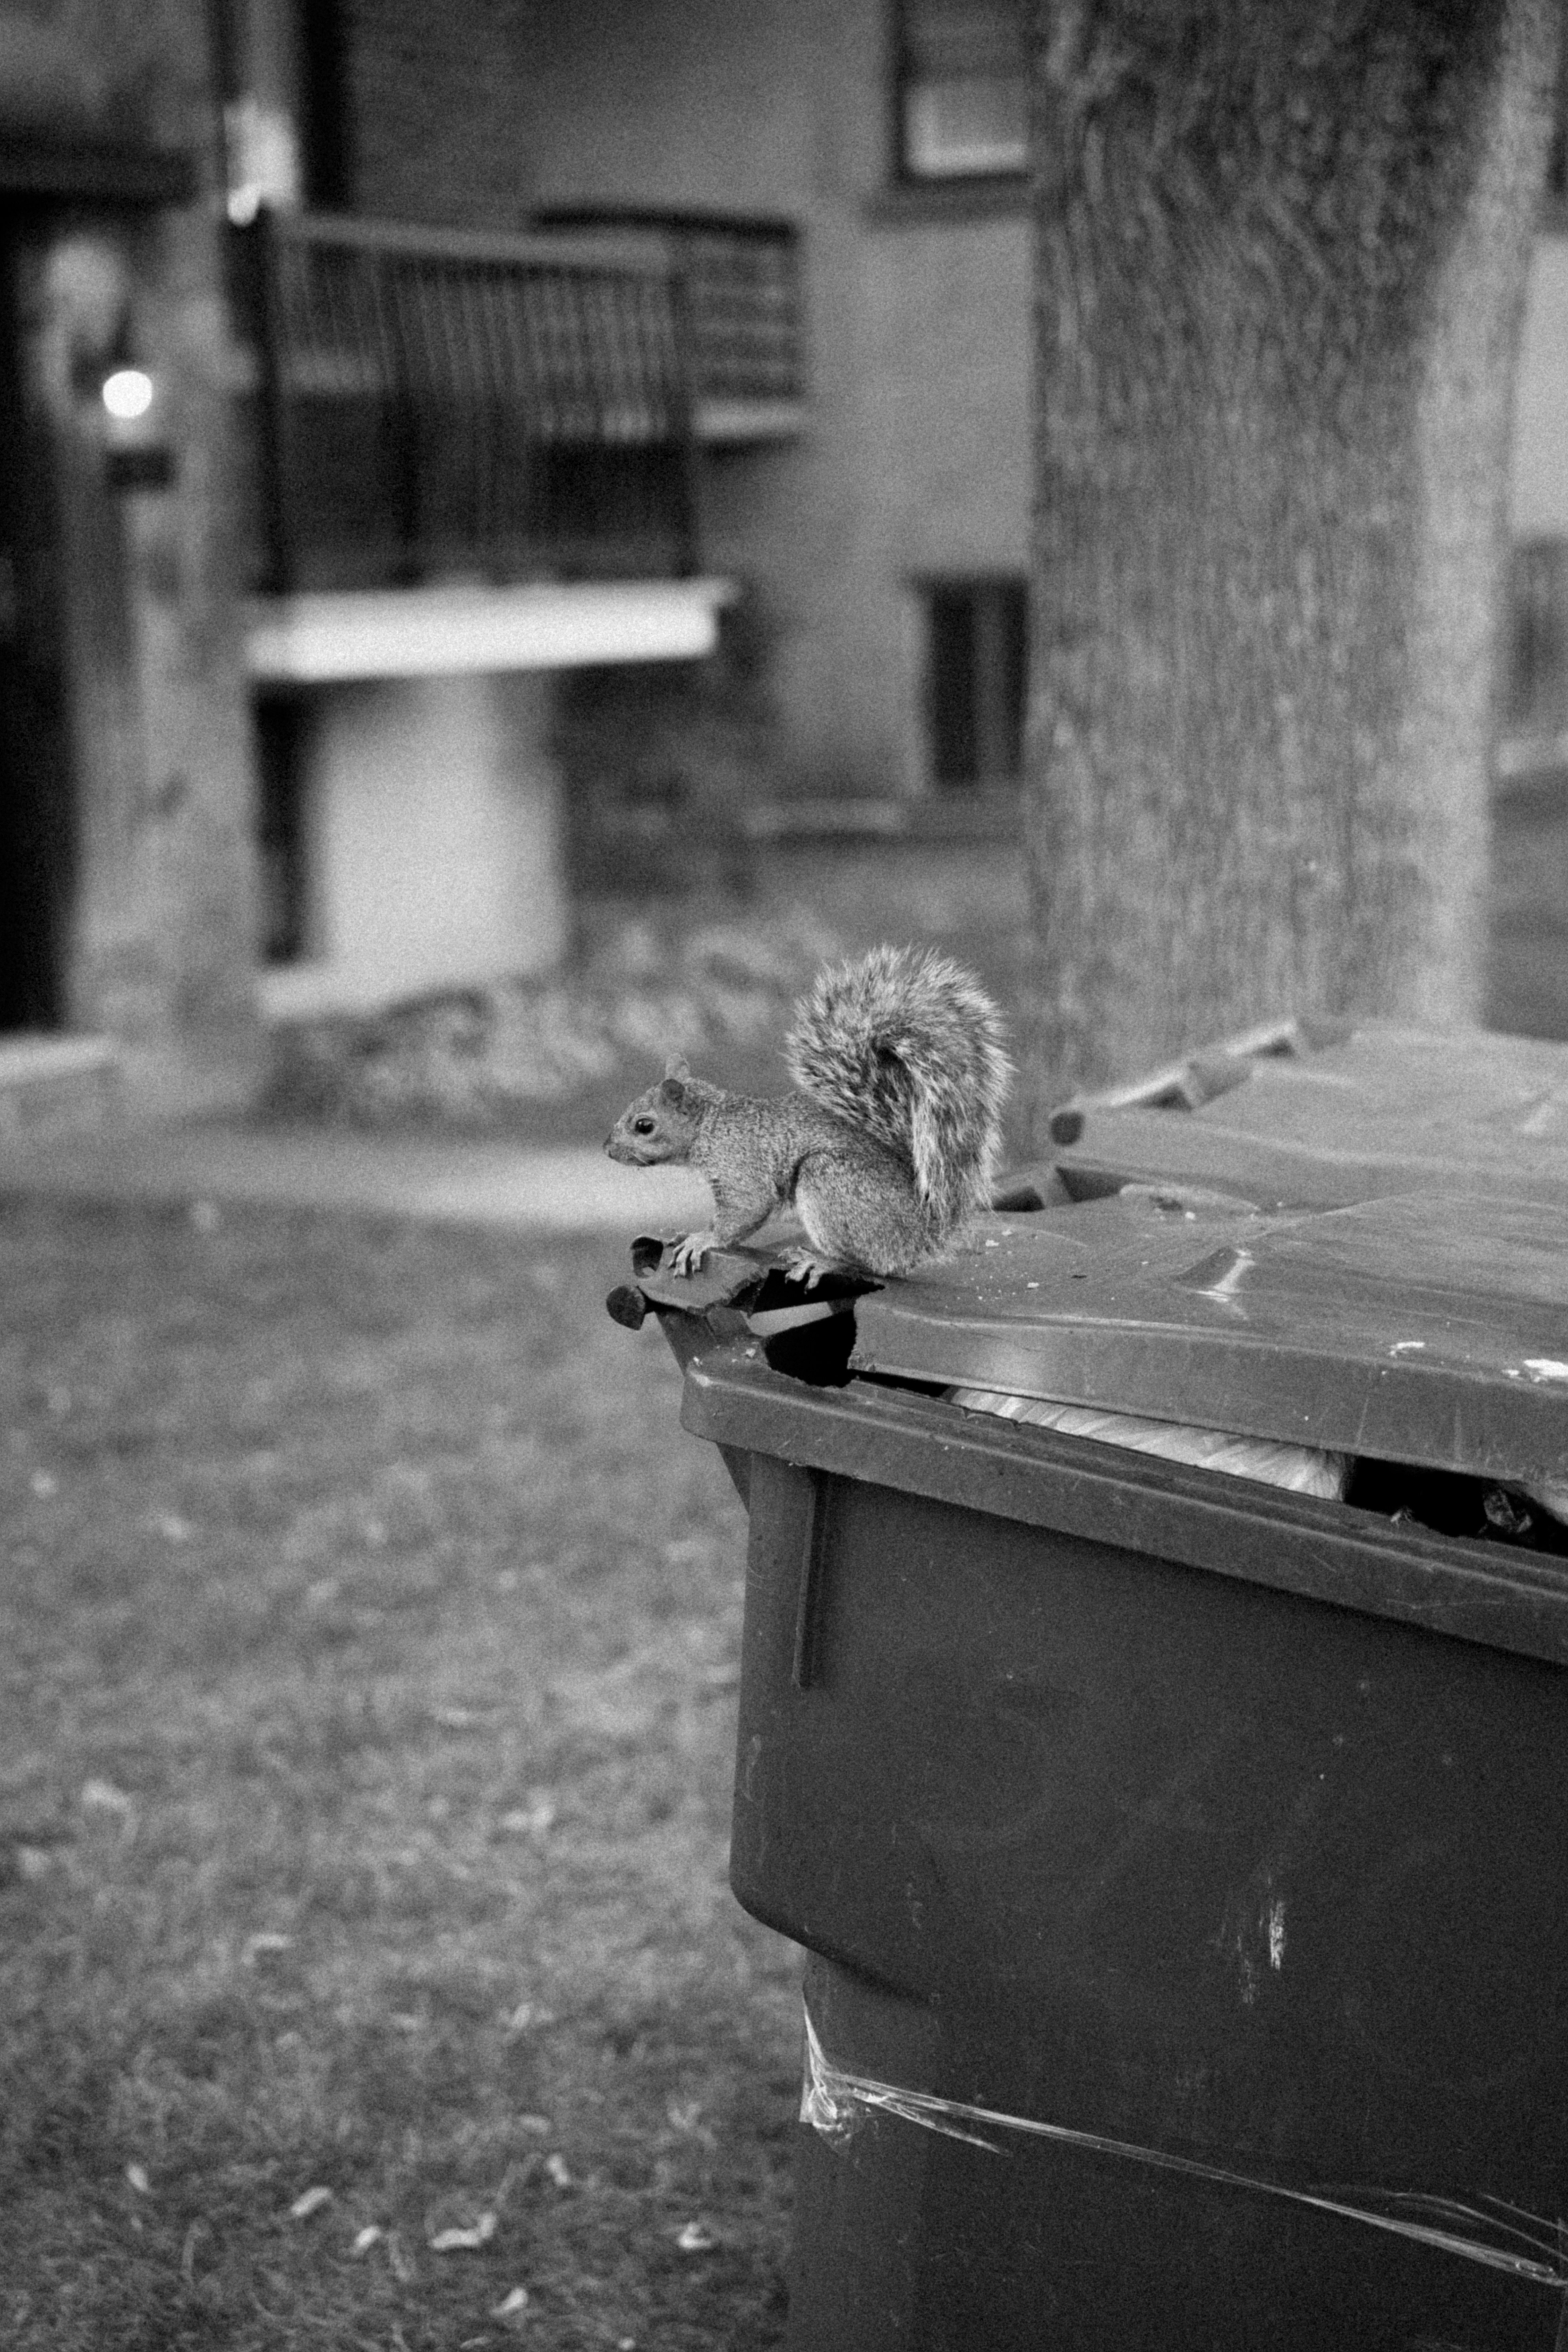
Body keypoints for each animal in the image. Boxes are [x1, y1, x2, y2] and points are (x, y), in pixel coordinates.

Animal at [605, 943, 1012, 1283]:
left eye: (644, 1126)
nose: (608, 1150)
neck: (712, 1124)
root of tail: (926, 1233)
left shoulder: (739, 1167)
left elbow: (746, 1209)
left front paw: (703, 1239)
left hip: (831, 1182)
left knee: (869, 1263)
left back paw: (822, 1261)